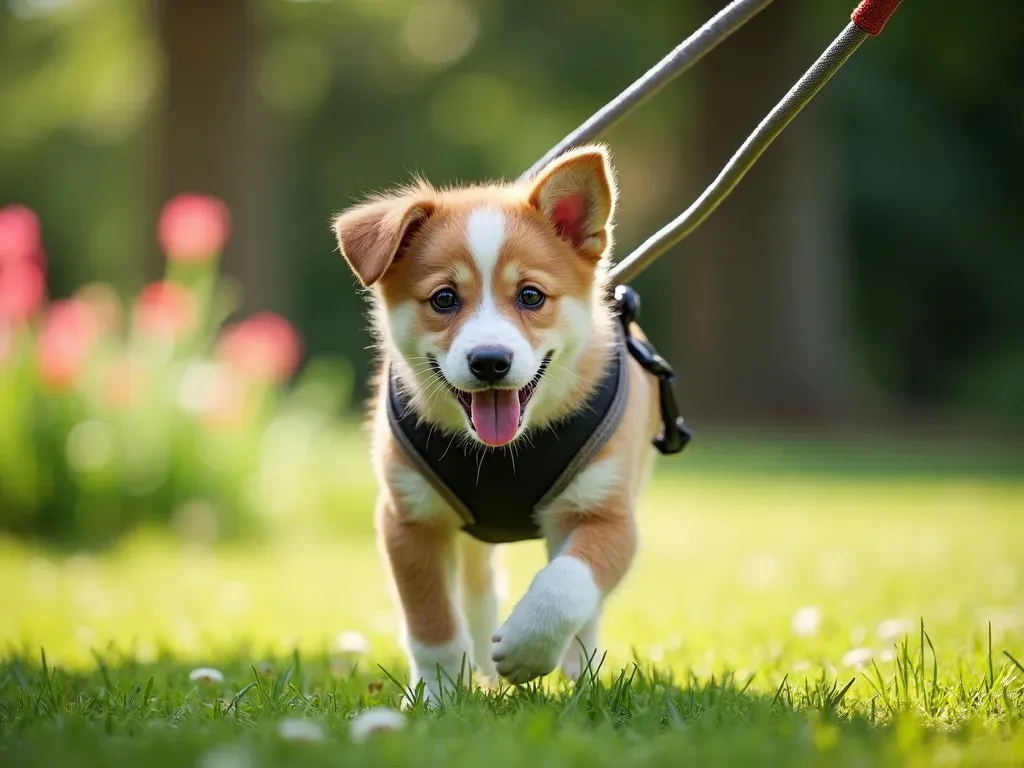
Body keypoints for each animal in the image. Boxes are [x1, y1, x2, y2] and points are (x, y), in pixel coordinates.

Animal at [331, 145, 659, 704]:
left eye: (530, 296)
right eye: (444, 298)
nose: (489, 361)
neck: (503, 454)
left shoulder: (607, 513)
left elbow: (567, 582)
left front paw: (529, 647)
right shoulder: (409, 519)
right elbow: (432, 623)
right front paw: (438, 696)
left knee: (583, 607)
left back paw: (580, 671)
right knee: (477, 593)